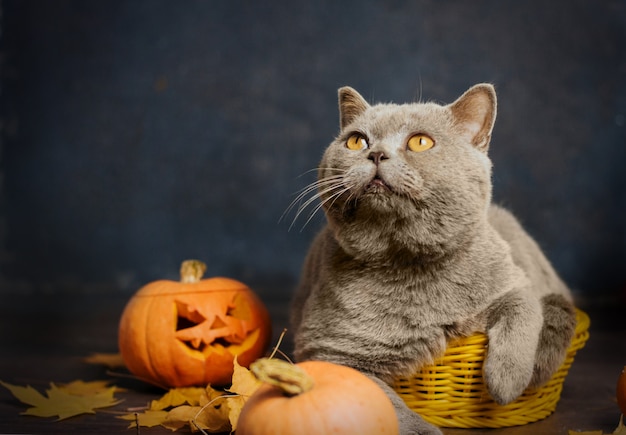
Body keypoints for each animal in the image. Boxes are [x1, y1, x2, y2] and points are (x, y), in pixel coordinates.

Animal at [288, 83, 576, 434]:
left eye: (420, 142)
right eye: (357, 141)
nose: (376, 153)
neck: (409, 265)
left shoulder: (513, 282)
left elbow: (523, 309)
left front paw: (505, 382)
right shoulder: (326, 350)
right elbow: (381, 402)